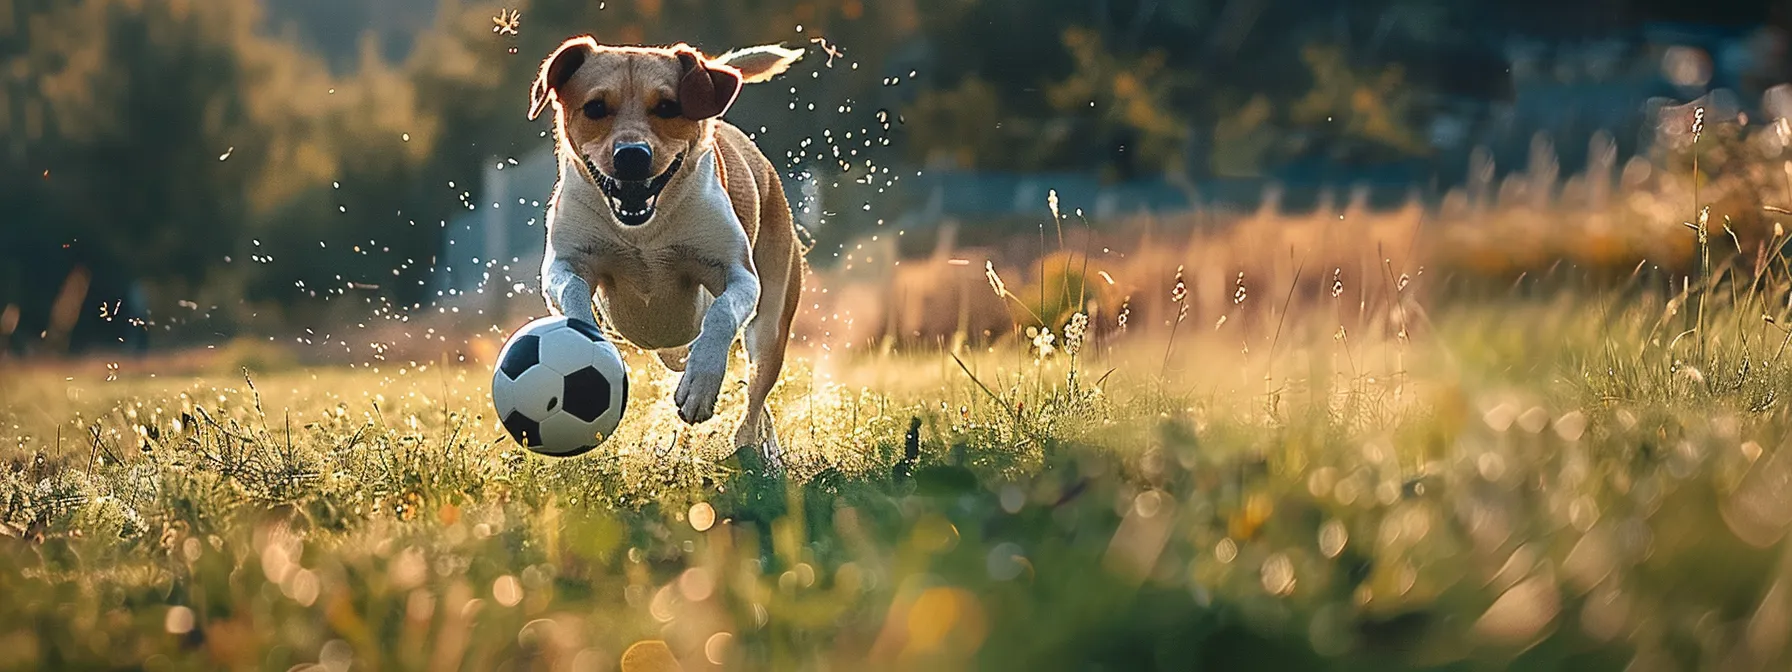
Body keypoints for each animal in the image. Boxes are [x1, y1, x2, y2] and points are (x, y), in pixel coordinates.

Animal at [526, 35, 809, 469]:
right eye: (595, 107)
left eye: (667, 107)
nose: (631, 154)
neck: (644, 232)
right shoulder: (563, 263)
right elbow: (572, 291)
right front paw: (586, 339)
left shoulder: (739, 274)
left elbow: (721, 313)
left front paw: (701, 386)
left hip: (772, 322)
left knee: (755, 394)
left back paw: (754, 452)